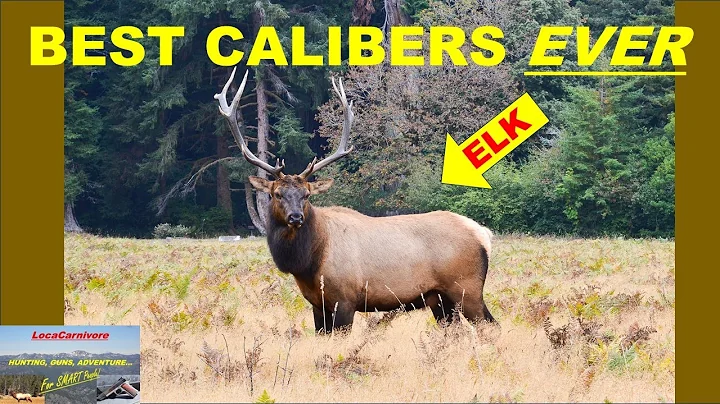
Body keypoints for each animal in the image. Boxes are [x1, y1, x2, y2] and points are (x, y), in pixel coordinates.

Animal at [215, 67, 495, 333]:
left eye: (307, 195)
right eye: (276, 194)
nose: (296, 217)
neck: (309, 262)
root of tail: (483, 234)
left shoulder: (345, 300)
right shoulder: (317, 304)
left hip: (467, 288)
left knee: (490, 326)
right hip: (439, 299)